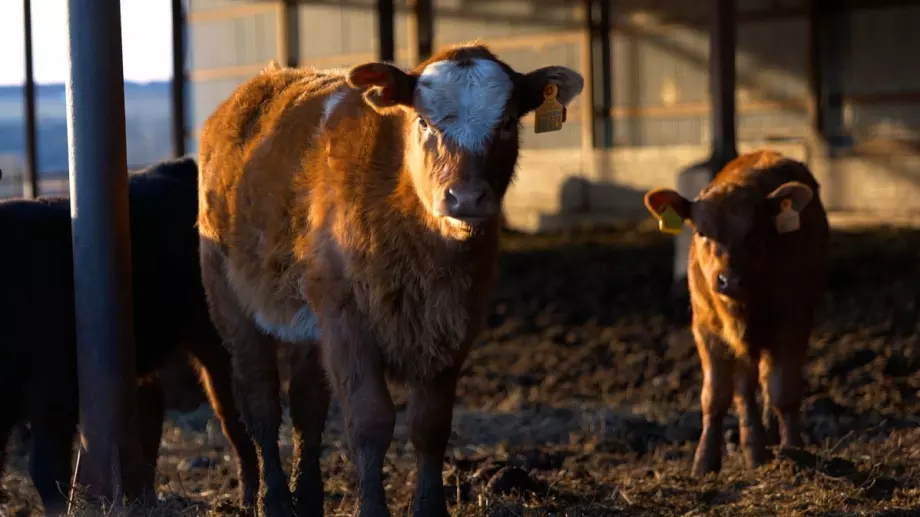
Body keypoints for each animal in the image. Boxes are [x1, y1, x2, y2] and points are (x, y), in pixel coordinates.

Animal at [196, 44, 584, 516]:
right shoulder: (347, 319)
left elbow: (431, 426)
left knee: (307, 405)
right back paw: (274, 500)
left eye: (508, 121)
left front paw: (431, 508)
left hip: (310, 320)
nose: (466, 198)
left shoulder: (454, 321)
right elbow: (370, 421)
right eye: (424, 121)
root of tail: (262, 83)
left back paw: (308, 498)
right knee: (261, 402)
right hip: (231, 302)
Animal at [644, 149, 832, 476]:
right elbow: (716, 395)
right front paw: (705, 461)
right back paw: (757, 444)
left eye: (753, 232)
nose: (729, 280)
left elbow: (783, 390)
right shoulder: (706, 328)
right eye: (701, 232)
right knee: (747, 386)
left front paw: (793, 450)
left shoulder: (793, 320)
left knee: (767, 382)